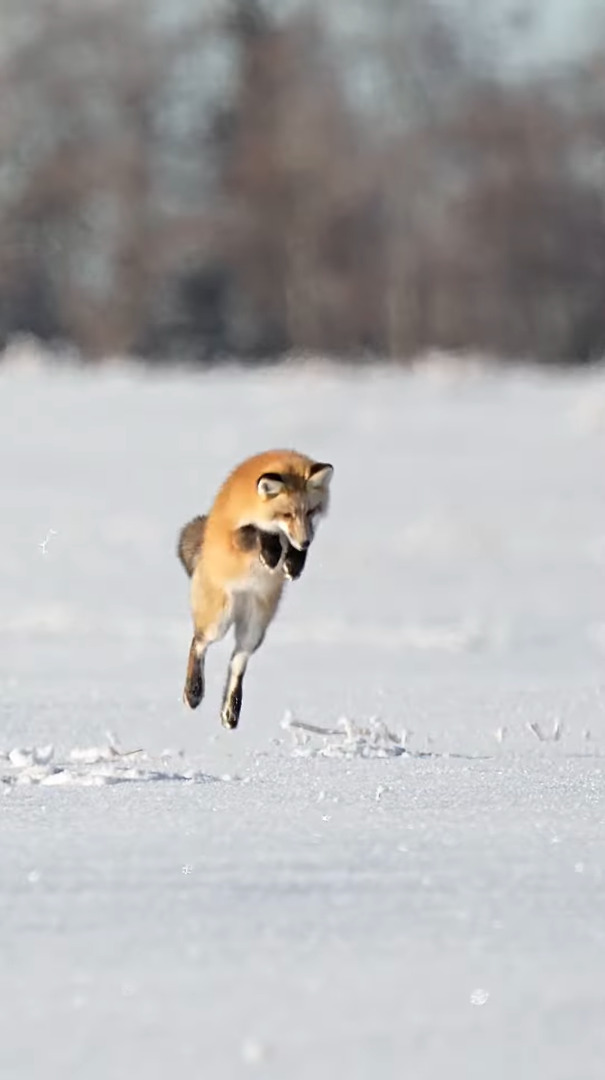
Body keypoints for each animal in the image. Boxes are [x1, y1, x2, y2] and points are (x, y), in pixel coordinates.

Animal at [175, 442, 334, 730]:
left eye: (310, 512)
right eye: (287, 514)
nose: (305, 541)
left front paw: (294, 561)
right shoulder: (232, 537)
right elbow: (253, 532)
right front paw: (271, 551)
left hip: (254, 628)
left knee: (237, 662)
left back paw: (230, 711)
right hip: (217, 622)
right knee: (198, 643)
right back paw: (193, 692)